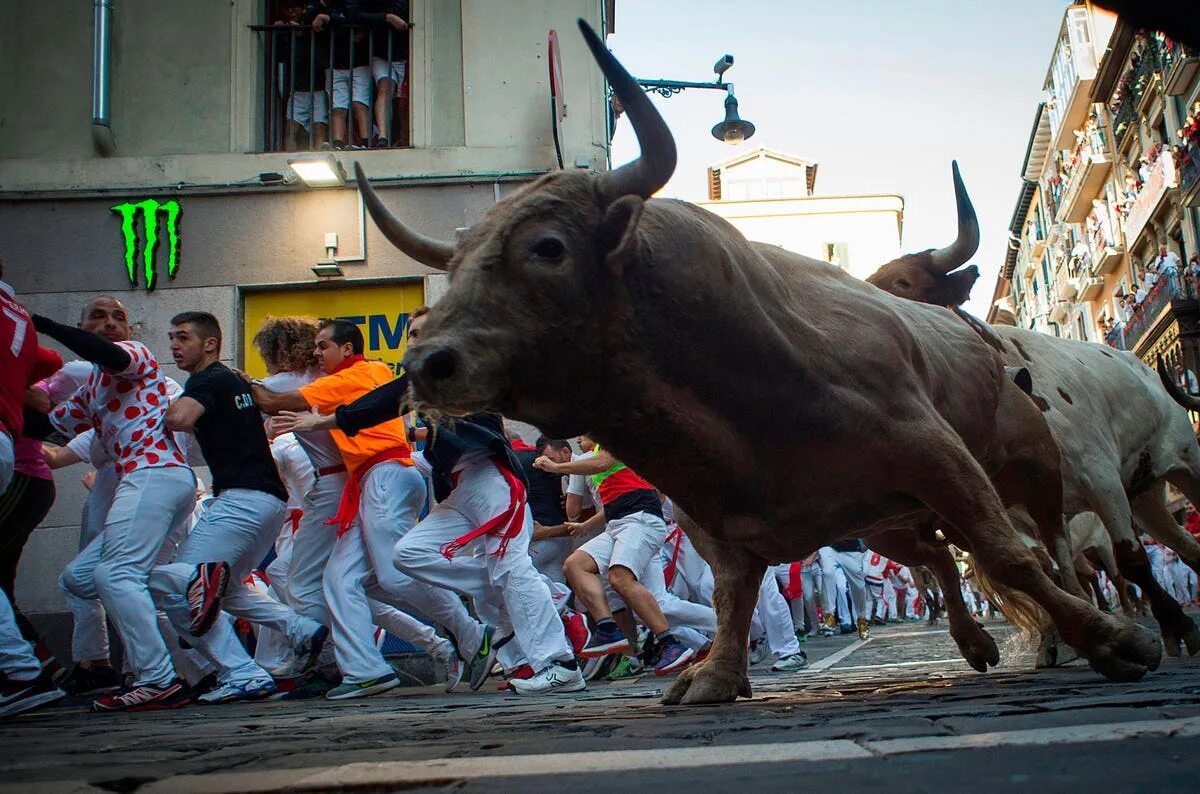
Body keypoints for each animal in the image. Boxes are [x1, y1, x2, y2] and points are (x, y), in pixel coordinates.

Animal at [350, 18, 1156, 705]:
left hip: (1030, 472)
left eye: (547, 247)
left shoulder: (935, 454)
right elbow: (731, 595)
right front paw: (712, 676)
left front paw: (1116, 640)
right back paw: (985, 642)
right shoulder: (722, 523)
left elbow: (1010, 557)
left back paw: (1076, 634)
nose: (428, 362)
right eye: (456, 263)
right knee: (940, 560)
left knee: (1049, 553)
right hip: (891, 523)